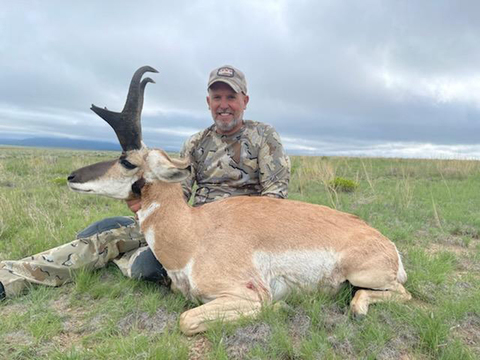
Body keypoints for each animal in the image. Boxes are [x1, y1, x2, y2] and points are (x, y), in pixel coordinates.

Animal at [67, 66, 412, 336]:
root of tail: (387, 244)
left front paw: (280, 309)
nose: (72, 177)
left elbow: (186, 319)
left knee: (400, 294)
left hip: (362, 274)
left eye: (126, 162)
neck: (193, 234)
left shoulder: (243, 295)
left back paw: (358, 308)